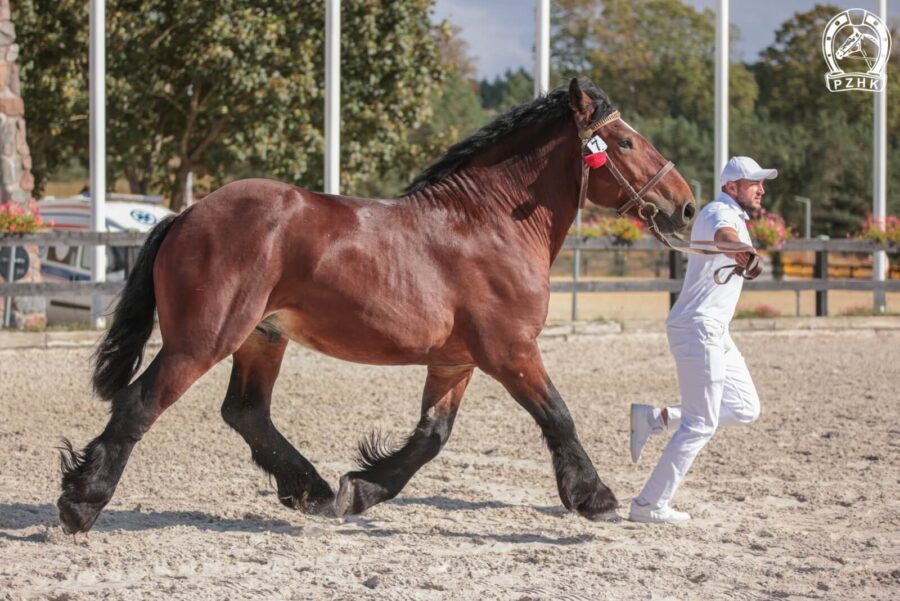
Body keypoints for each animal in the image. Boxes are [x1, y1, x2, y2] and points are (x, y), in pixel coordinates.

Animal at [58, 77, 696, 532]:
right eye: (625, 142)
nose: (685, 205)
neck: (488, 224)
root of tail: (188, 214)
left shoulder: (455, 361)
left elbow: (431, 436)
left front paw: (359, 490)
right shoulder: (511, 351)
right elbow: (558, 415)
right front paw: (595, 497)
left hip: (263, 337)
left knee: (246, 411)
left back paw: (312, 490)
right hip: (203, 339)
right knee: (141, 403)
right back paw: (81, 503)